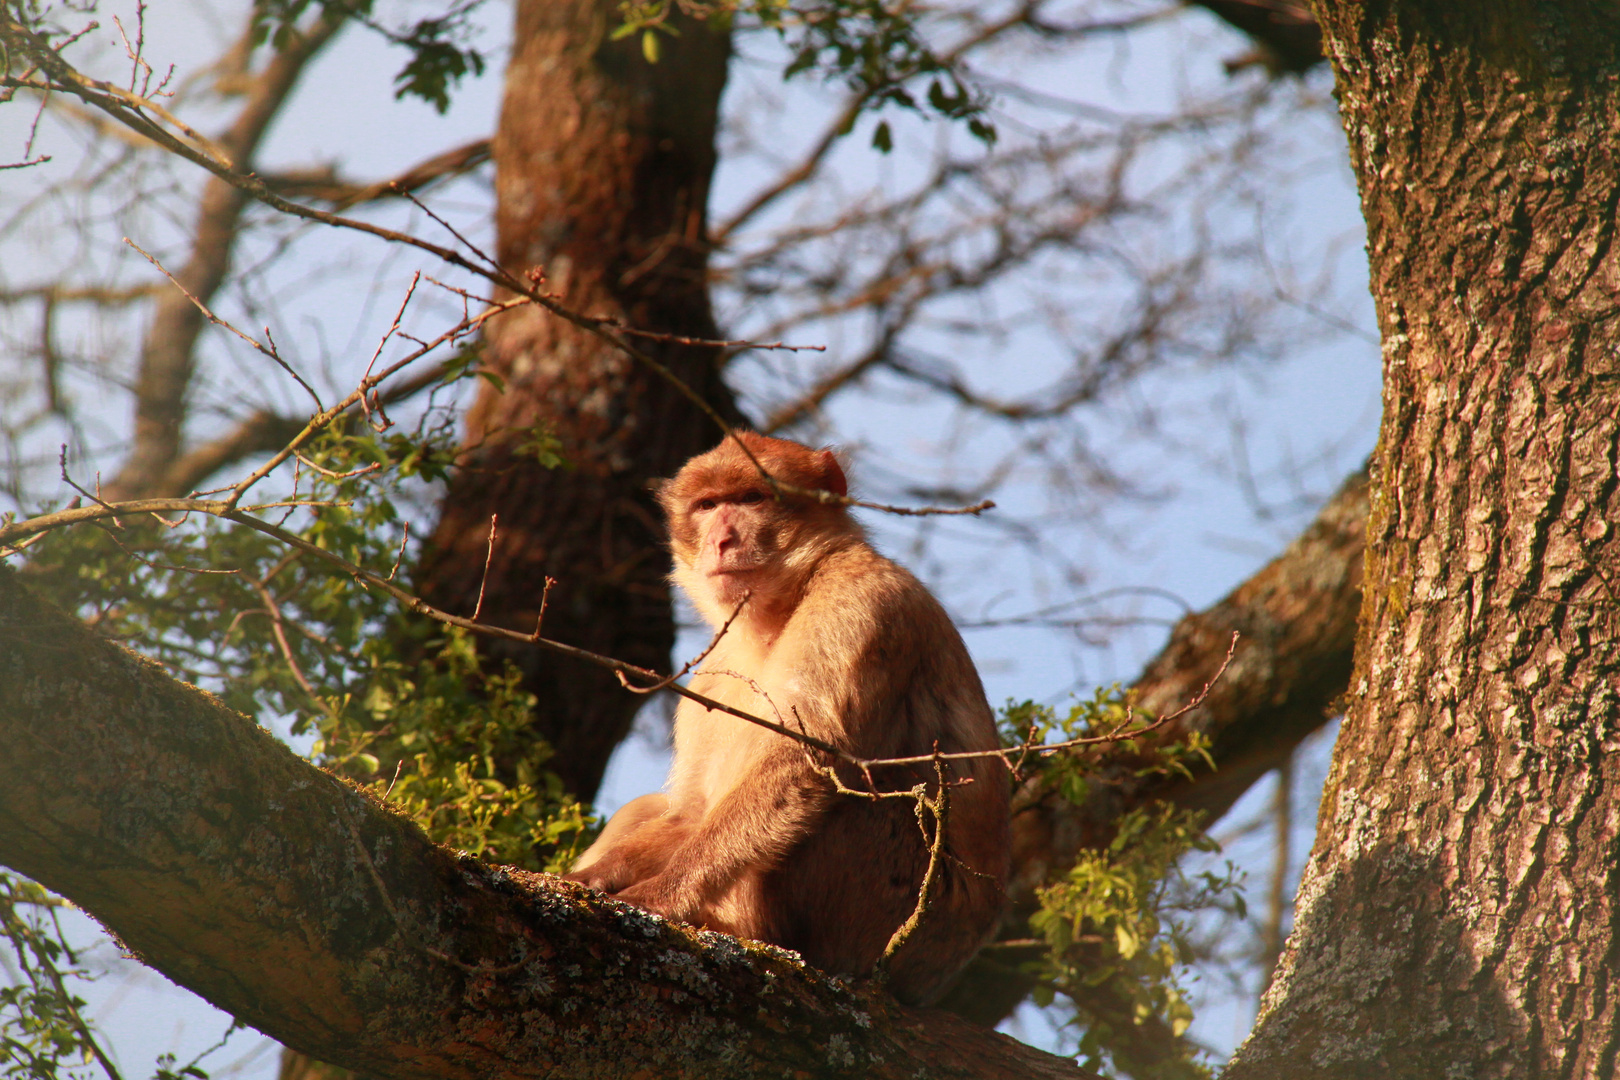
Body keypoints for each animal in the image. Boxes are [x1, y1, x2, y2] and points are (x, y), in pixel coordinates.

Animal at [563, 430, 1004, 1003]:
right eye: (708, 506)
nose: (722, 540)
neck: (775, 612)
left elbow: (805, 762)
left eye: (752, 498)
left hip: (889, 909)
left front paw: (661, 895)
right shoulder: (712, 673)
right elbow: (691, 810)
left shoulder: (861, 602)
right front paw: (600, 875)